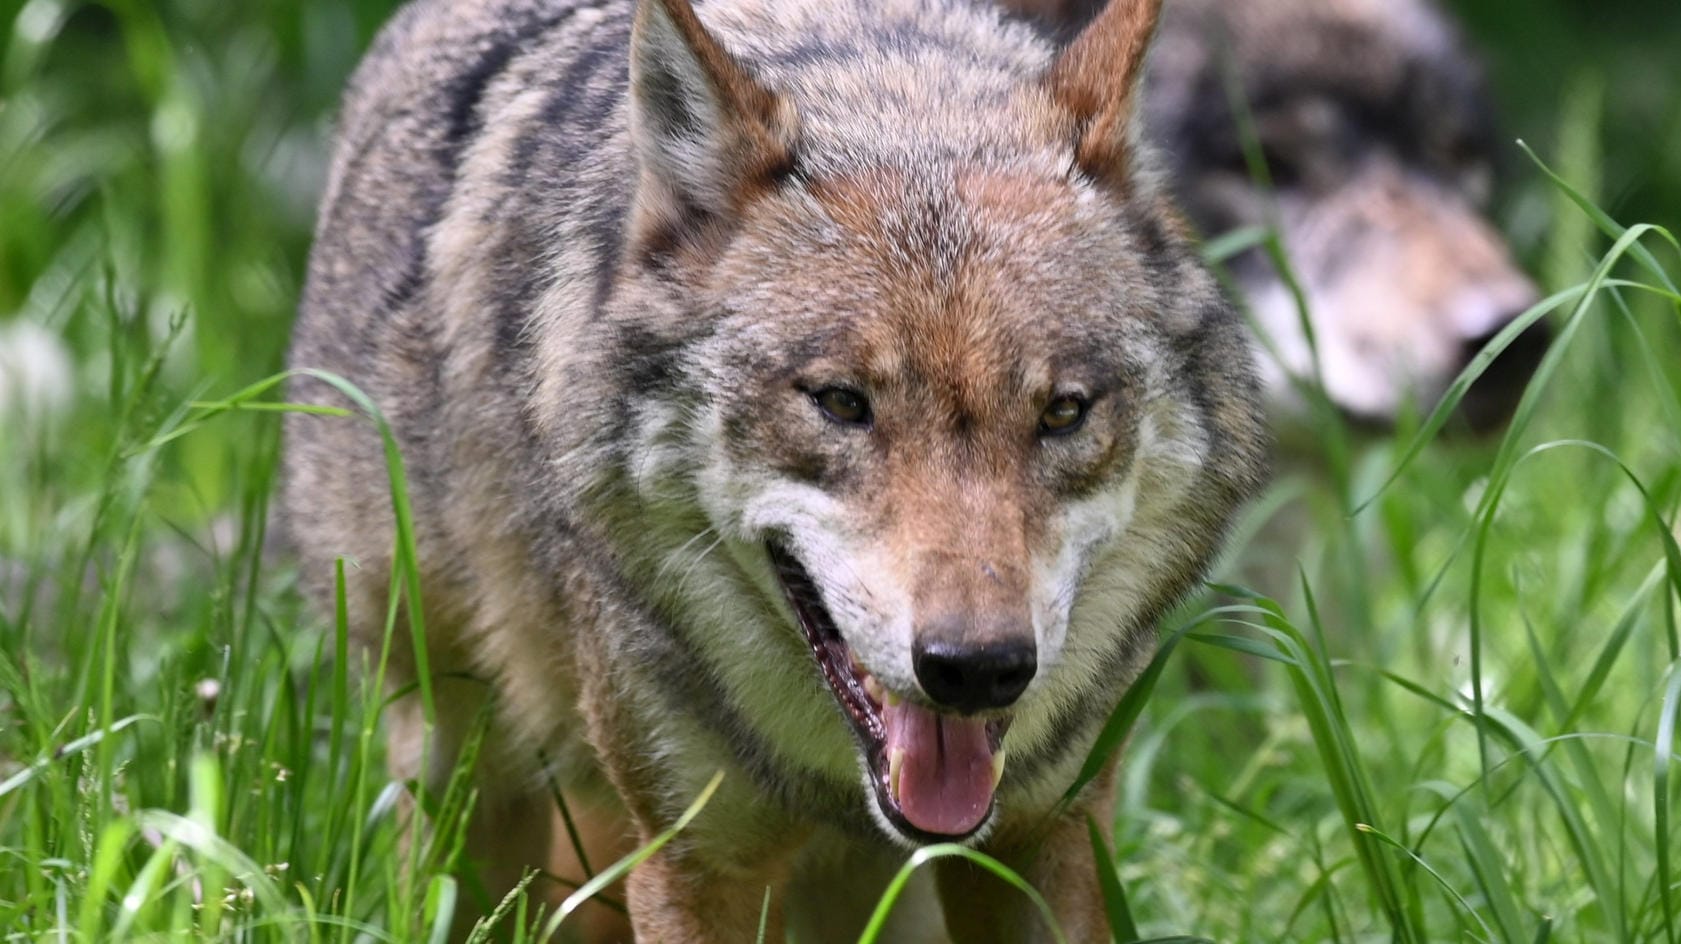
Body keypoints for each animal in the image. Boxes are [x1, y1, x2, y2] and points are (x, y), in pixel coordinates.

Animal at [282, 0, 1264, 933]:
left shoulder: (1044, 833)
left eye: (1062, 413)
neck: (893, 93)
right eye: (840, 403)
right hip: (458, 774)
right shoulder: (693, 864)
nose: (979, 667)